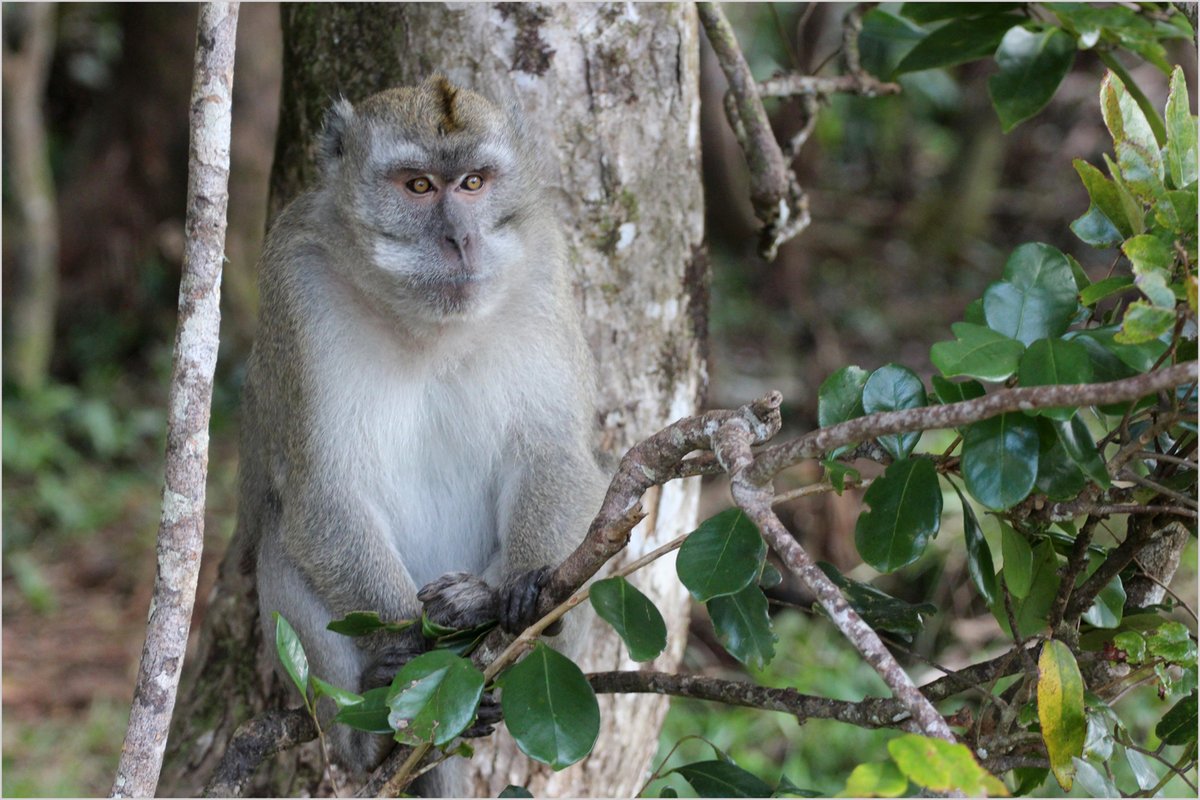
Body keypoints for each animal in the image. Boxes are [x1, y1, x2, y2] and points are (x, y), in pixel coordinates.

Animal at [234, 76, 607, 792]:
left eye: (473, 183)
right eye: (417, 187)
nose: (461, 239)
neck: (426, 326)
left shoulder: (543, 262)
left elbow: (557, 456)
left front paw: (497, 594)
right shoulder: (296, 277)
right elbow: (321, 495)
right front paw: (410, 641)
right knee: (281, 542)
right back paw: (368, 736)